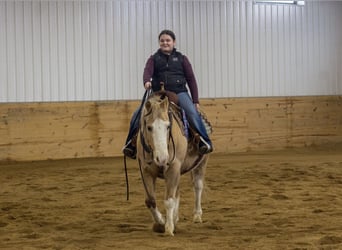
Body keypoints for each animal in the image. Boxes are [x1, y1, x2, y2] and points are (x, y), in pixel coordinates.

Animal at [136, 91, 208, 235]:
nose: (163, 158)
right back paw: (175, 218)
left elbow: (169, 200)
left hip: (201, 163)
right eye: (149, 127)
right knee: (177, 193)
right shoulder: (146, 170)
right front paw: (160, 222)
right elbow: (150, 200)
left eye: (168, 126)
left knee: (197, 187)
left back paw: (197, 215)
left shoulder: (173, 167)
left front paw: (168, 228)